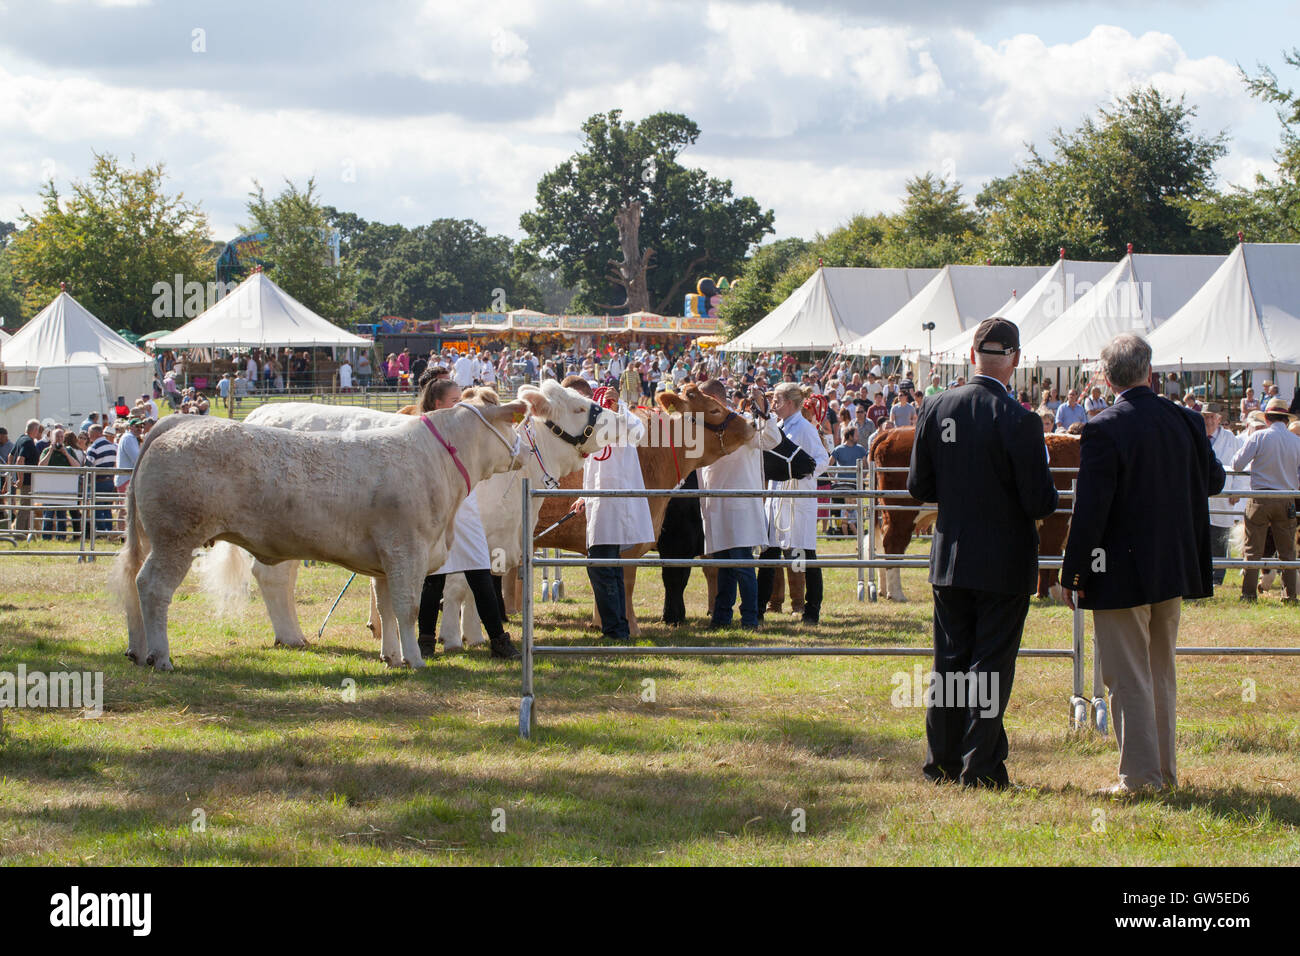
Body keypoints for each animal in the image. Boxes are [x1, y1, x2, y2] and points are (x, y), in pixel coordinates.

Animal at [873, 424, 1076, 598]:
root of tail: (891, 433)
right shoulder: (1056, 520)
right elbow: (1051, 557)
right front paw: (1054, 593)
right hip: (903, 513)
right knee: (893, 543)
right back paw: (896, 593)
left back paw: (883, 589)